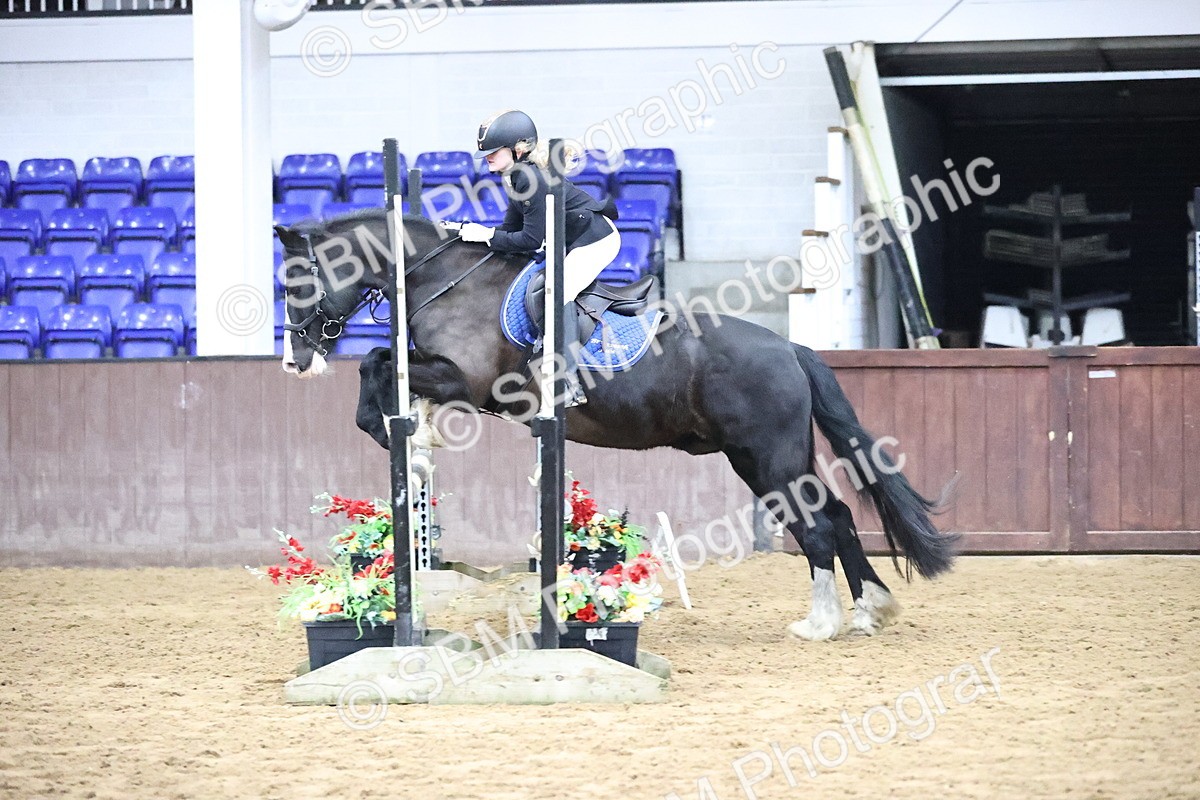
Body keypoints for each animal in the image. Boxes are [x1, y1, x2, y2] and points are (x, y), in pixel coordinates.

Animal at [275, 208, 958, 641]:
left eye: (298, 280)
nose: (296, 361)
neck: (444, 279)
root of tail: (790, 348)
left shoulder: (464, 382)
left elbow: (374, 364)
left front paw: (404, 440)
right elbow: (379, 363)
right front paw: (412, 437)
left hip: (764, 455)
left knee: (816, 527)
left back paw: (821, 624)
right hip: (779, 455)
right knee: (836, 516)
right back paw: (870, 611)